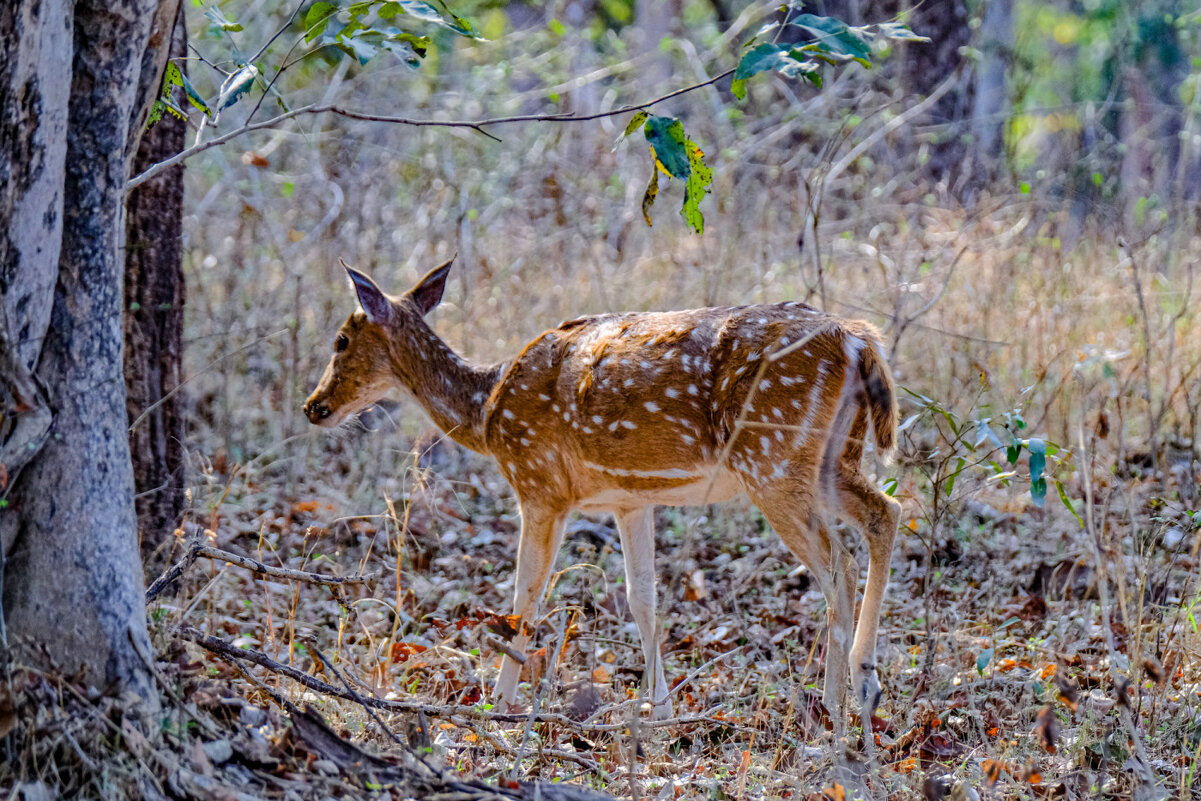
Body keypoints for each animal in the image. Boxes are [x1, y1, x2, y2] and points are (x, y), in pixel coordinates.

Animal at [307, 258, 903, 734]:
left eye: (340, 340)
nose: (314, 406)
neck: (487, 411)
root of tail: (859, 341)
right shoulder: (630, 499)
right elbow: (643, 598)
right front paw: (659, 711)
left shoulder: (539, 484)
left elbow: (525, 598)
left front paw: (495, 705)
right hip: (830, 458)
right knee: (887, 511)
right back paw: (863, 690)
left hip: (772, 457)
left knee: (840, 564)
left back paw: (836, 704)